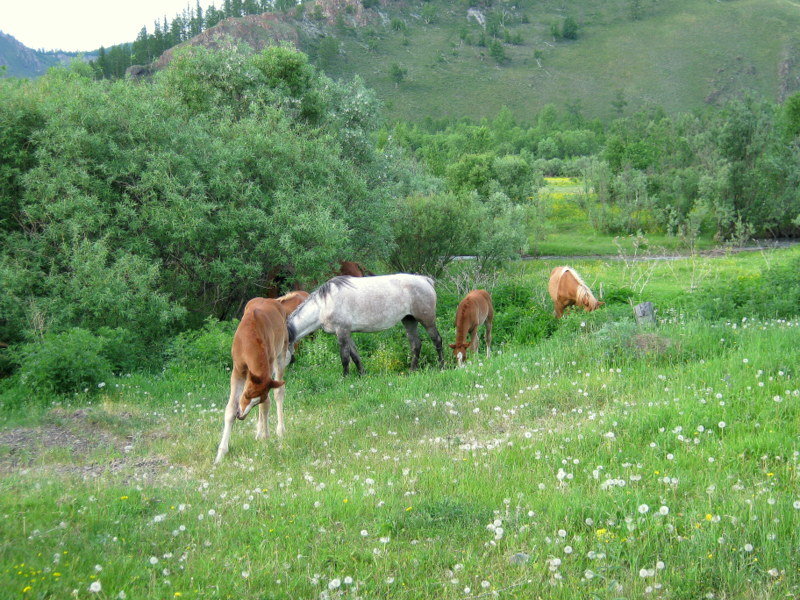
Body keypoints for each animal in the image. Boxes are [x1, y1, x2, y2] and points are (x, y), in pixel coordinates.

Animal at [217, 298, 292, 464]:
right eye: (246, 394)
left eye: (257, 400)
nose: (241, 416)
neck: (249, 338)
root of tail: (274, 300)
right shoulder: (237, 371)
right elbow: (230, 409)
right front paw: (220, 455)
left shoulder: (268, 367)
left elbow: (266, 404)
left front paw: (266, 437)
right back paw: (258, 432)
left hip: (281, 352)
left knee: (279, 392)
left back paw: (280, 430)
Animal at [288, 274, 444, 376]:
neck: (323, 305)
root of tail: (425, 280)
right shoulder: (347, 332)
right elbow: (355, 355)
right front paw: (362, 374)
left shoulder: (342, 331)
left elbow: (344, 357)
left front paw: (345, 377)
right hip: (409, 320)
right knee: (416, 344)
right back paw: (412, 370)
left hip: (427, 320)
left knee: (437, 340)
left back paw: (441, 366)